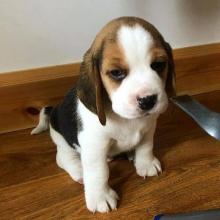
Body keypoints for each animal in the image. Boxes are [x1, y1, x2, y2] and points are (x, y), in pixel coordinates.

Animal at [31, 16, 175, 212]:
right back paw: (79, 170)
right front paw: (100, 197)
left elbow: (146, 146)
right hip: (61, 138)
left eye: (158, 65)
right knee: (63, 158)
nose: (147, 100)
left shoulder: (148, 128)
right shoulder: (94, 145)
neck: (125, 118)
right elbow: (98, 172)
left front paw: (145, 163)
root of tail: (54, 109)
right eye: (116, 73)